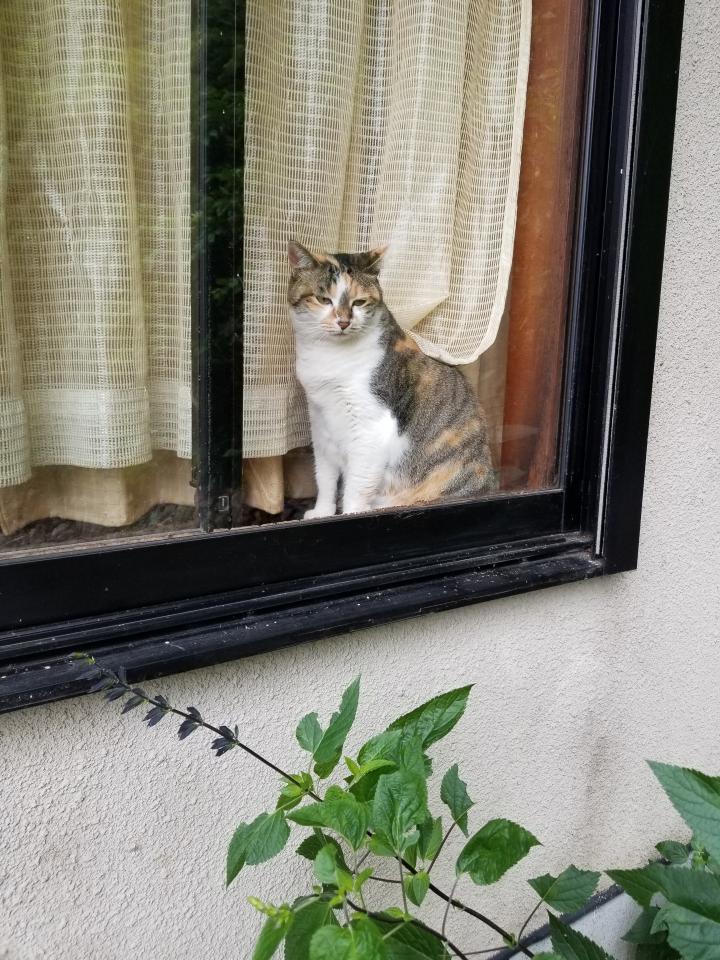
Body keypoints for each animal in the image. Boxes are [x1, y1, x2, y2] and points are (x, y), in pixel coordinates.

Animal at [286, 244, 496, 520]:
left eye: (359, 302)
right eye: (323, 299)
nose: (344, 321)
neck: (329, 357)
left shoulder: (371, 427)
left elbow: (356, 486)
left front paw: (350, 515)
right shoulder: (320, 421)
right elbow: (325, 477)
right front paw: (322, 512)